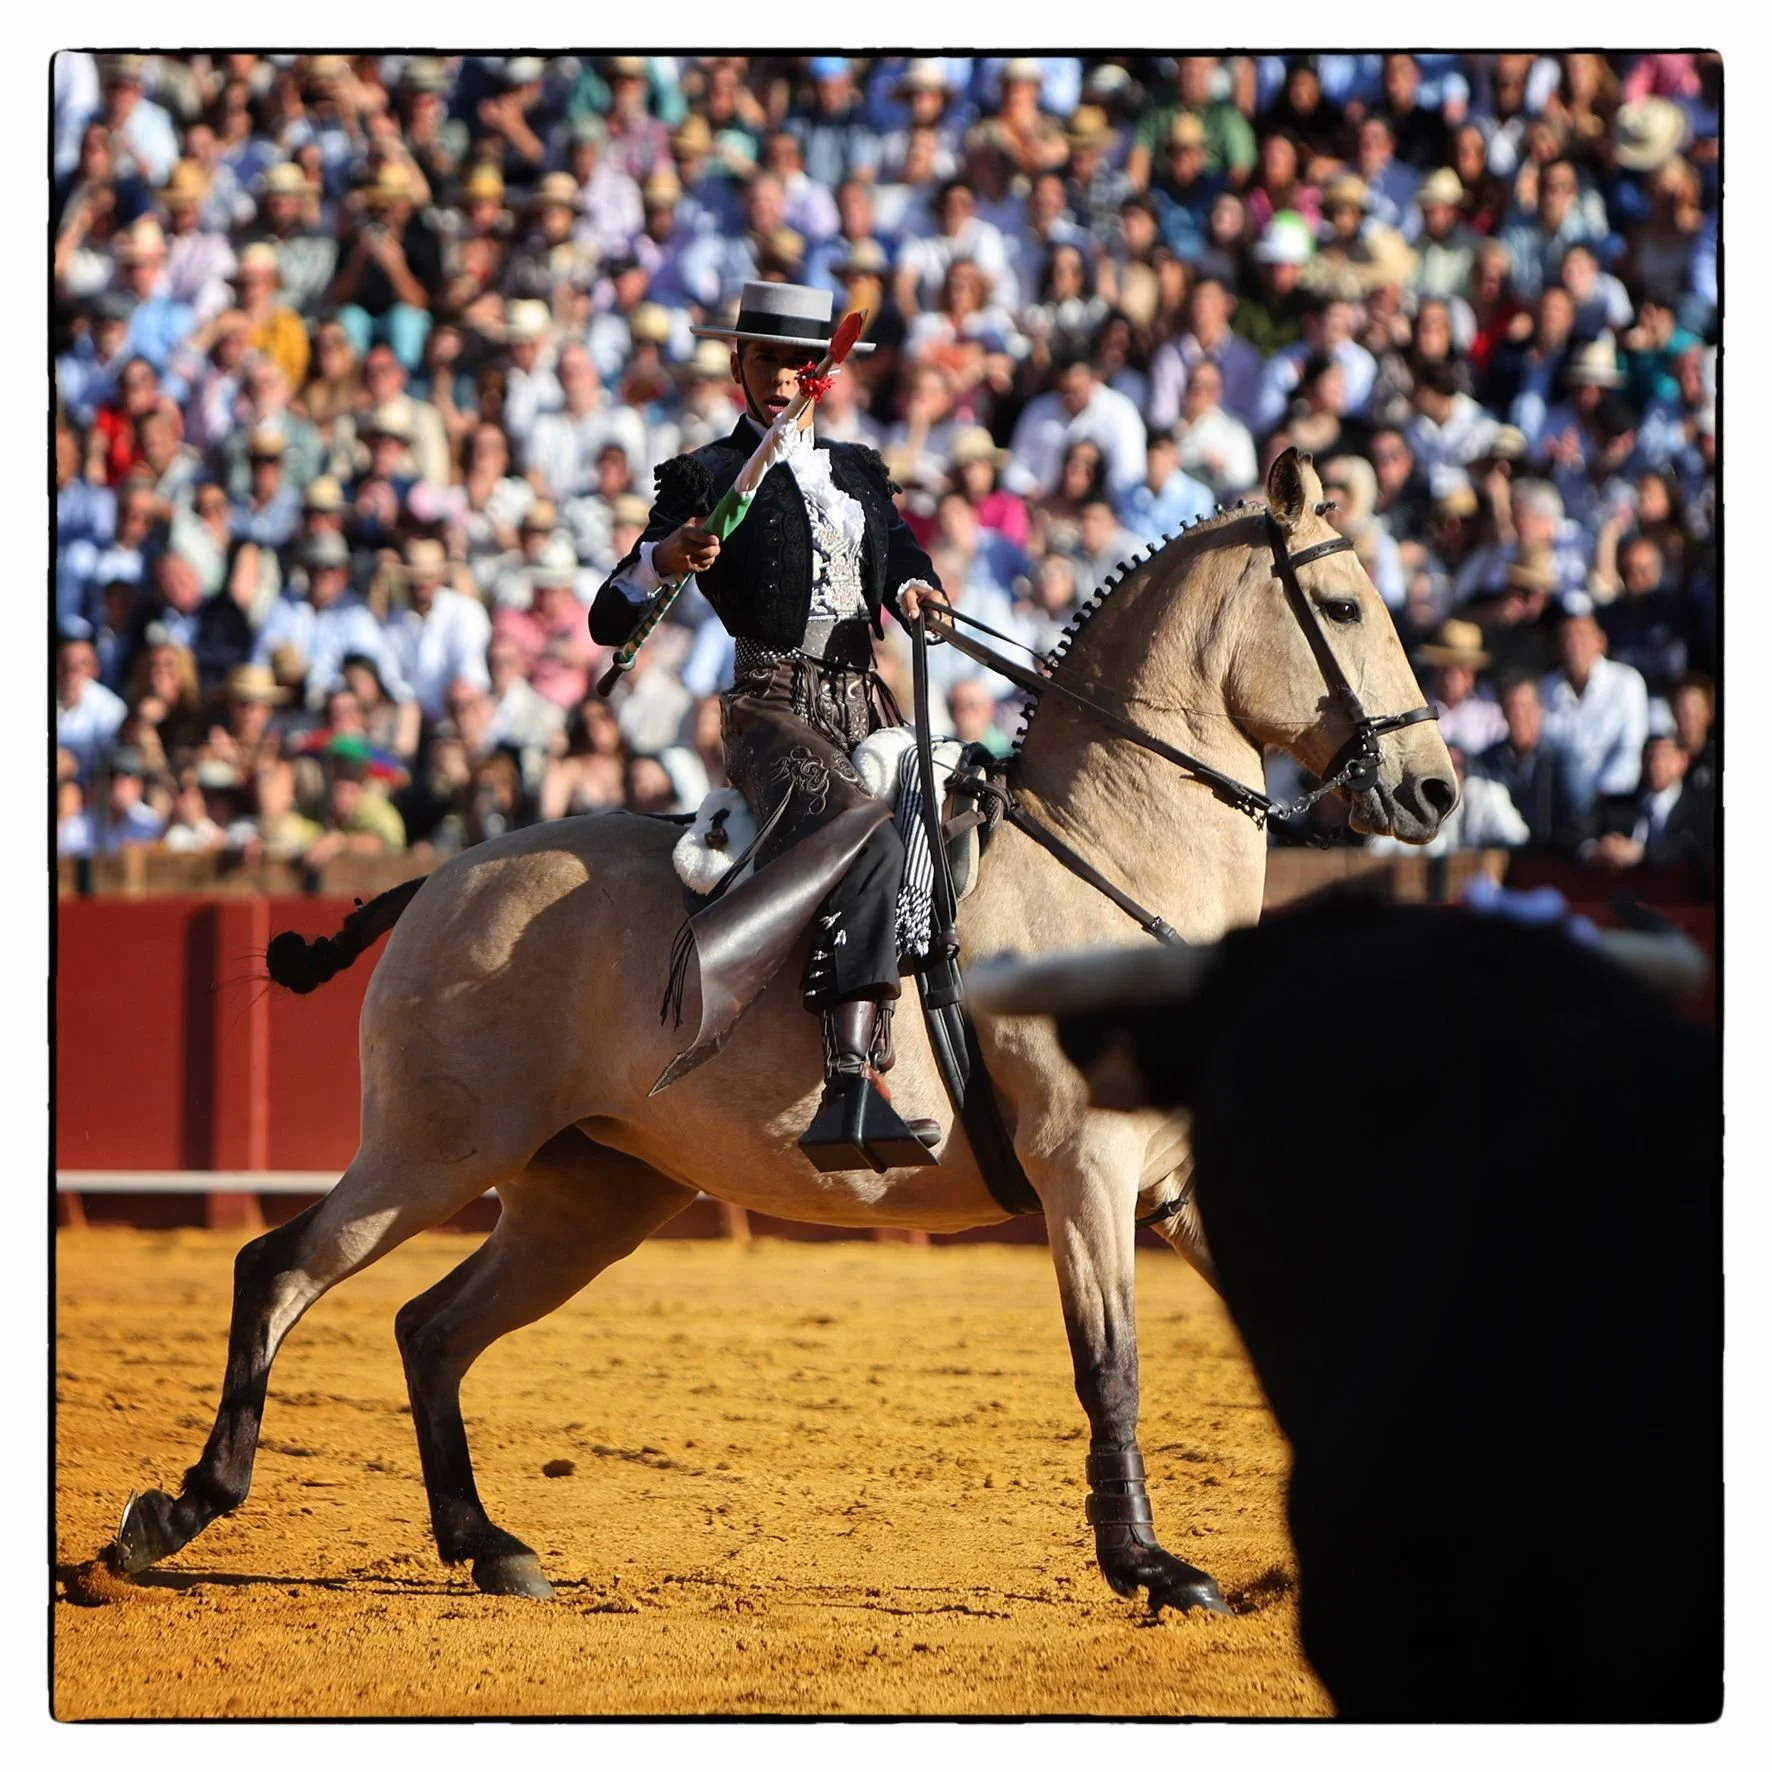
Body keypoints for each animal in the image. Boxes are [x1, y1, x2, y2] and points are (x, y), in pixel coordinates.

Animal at [102, 448, 1455, 1616]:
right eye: (1340, 603)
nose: (1436, 789)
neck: (1108, 858)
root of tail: (442, 875)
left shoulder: (1173, 1182)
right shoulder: (1087, 1169)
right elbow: (1107, 1361)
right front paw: (1149, 1567)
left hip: (585, 1193)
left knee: (428, 1327)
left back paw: (485, 1543)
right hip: (433, 1149)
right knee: (281, 1268)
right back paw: (170, 1515)